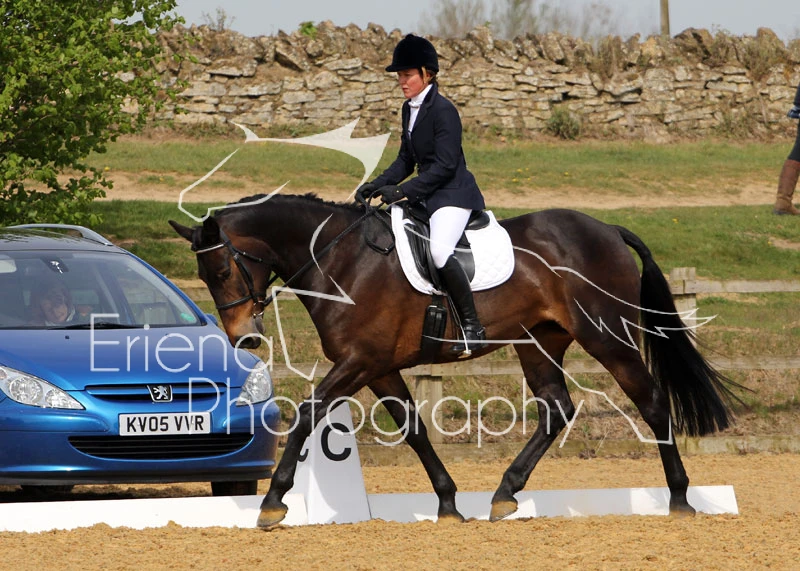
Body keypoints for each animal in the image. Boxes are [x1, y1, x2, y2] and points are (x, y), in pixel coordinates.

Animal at [170, 193, 737, 528]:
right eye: (207, 274)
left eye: (221, 270)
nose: (244, 339)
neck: (341, 259)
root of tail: (608, 228)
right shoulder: (380, 368)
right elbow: (415, 430)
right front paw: (447, 504)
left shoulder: (359, 361)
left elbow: (309, 414)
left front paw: (273, 502)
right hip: (539, 341)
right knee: (556, 408)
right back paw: (504, 494)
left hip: (608, 336)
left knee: (651, 401)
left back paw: (680, 499)